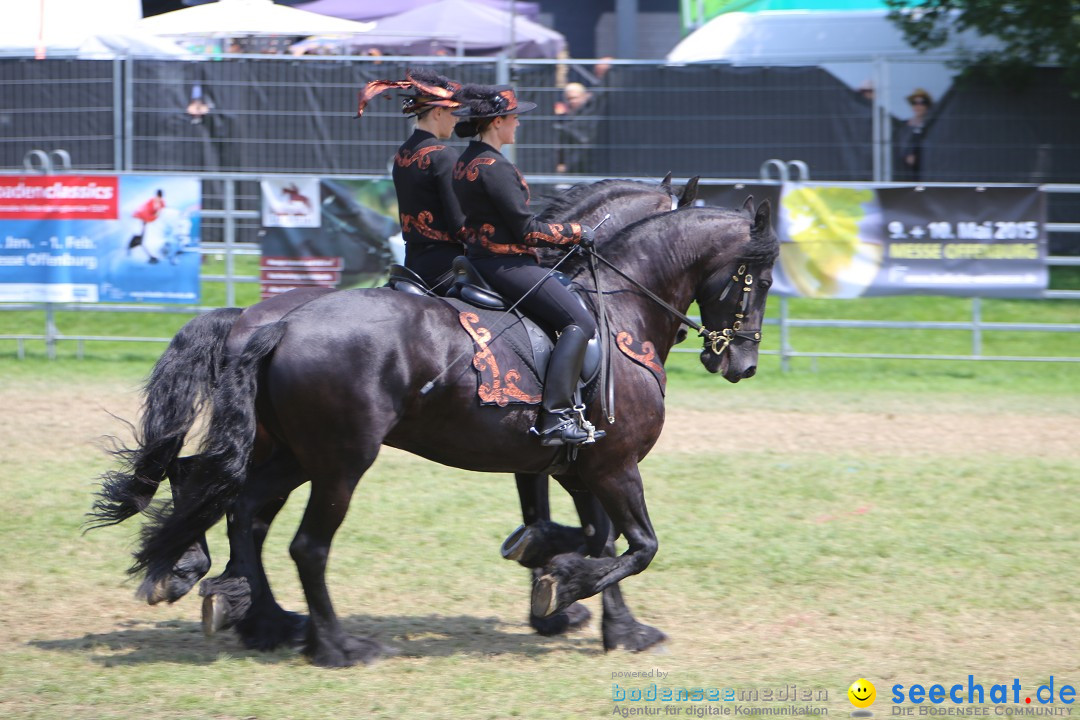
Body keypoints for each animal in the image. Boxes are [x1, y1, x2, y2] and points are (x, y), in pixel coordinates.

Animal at [101, 195, 777, 664]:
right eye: (764, 280)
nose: (741, 363)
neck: (620, 310)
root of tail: (276, 325)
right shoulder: (615, 465)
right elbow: (637, 545)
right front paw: (564, 586)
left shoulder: (580, 466)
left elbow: (601, 538)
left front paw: (612, 623)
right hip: (338, 464)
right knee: (298, 542)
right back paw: (332, 644)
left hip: (289, 455)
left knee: (230, 502)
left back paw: (245, 605)